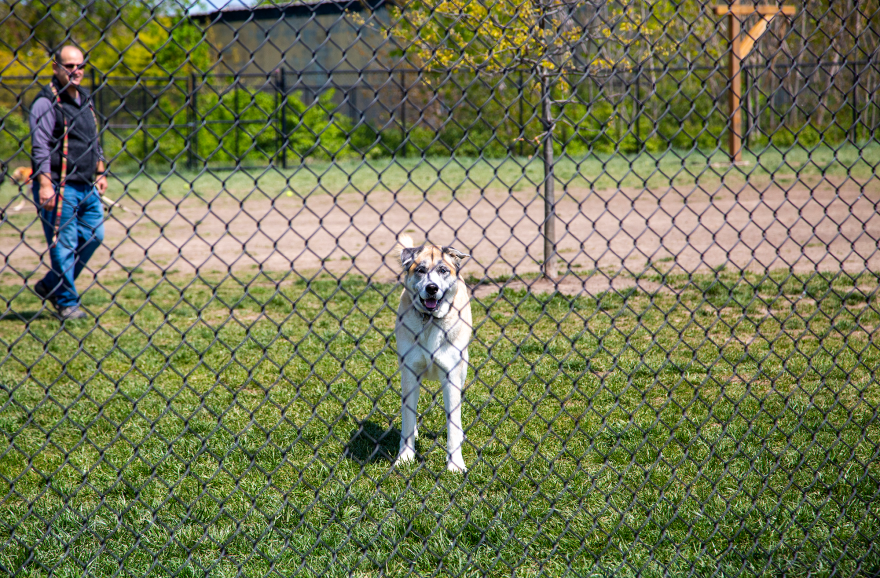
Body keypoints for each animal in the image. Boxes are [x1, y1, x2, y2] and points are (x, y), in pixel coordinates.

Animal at [394, 234, 470, 472]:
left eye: (443, 270)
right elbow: (408, 417)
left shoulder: (452, 375)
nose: (432, 288)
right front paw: (405, 457)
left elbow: (453, 423)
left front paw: (455, 465)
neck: (429, 321)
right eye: (420, 270)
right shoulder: (409, 373)